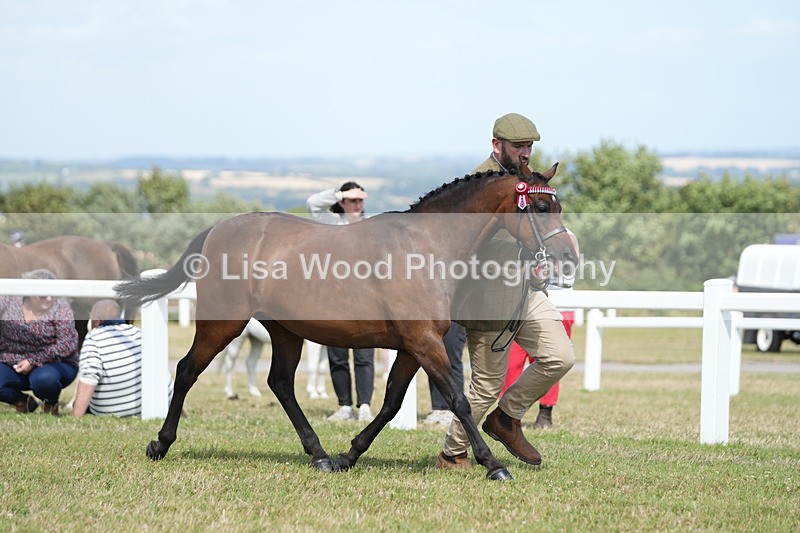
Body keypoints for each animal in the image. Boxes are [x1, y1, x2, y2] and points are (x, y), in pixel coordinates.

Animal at [115, 165, 577, 481]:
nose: (569, 258)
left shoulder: (413, 347)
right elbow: (459, 401)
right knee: (187, 370)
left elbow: (390, 403)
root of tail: (217, 229)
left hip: (285, 331)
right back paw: (160, 443)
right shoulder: (425, 342)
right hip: (222, 323)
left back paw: (318, 454)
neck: (428, 245)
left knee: (280, 383)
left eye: (557, 205)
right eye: (540, 206)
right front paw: (494, 464)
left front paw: (347, 456)